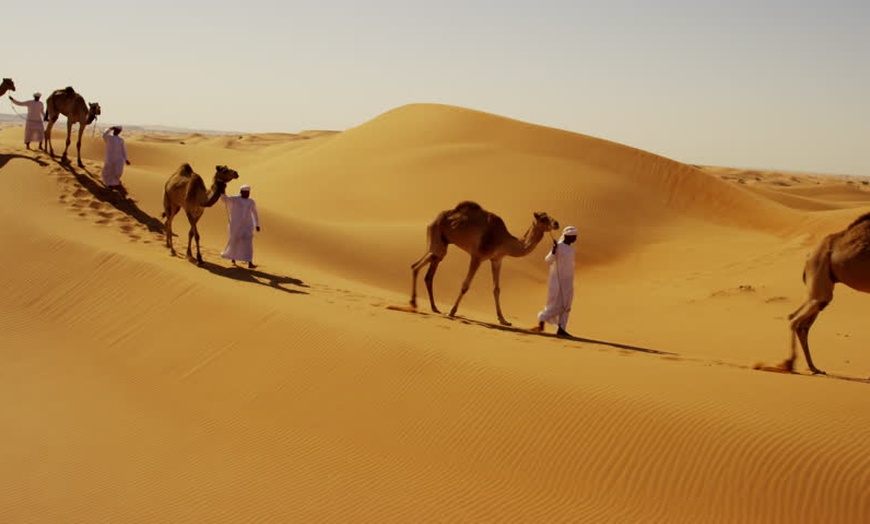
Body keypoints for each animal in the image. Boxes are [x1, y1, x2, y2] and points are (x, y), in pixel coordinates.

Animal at [412, 200, 564, 324]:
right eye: (543, 219)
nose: (556, 223)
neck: (504, 241)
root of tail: (434, 218)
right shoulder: (477, 256)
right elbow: (465, 285)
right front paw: (452, 311)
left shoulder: (497, 259)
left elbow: (496, 289)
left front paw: (503, 320)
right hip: (436, 236)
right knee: (421, 264)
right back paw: (415, 303)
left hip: (443, 243)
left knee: (427, 270)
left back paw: (433, 307)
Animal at [788, 211, 870, 374]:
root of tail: (809, 255)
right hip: (820, 275)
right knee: (796, 319)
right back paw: (789, 364)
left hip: (820, 290)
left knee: (800, 323)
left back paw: (813, 367)